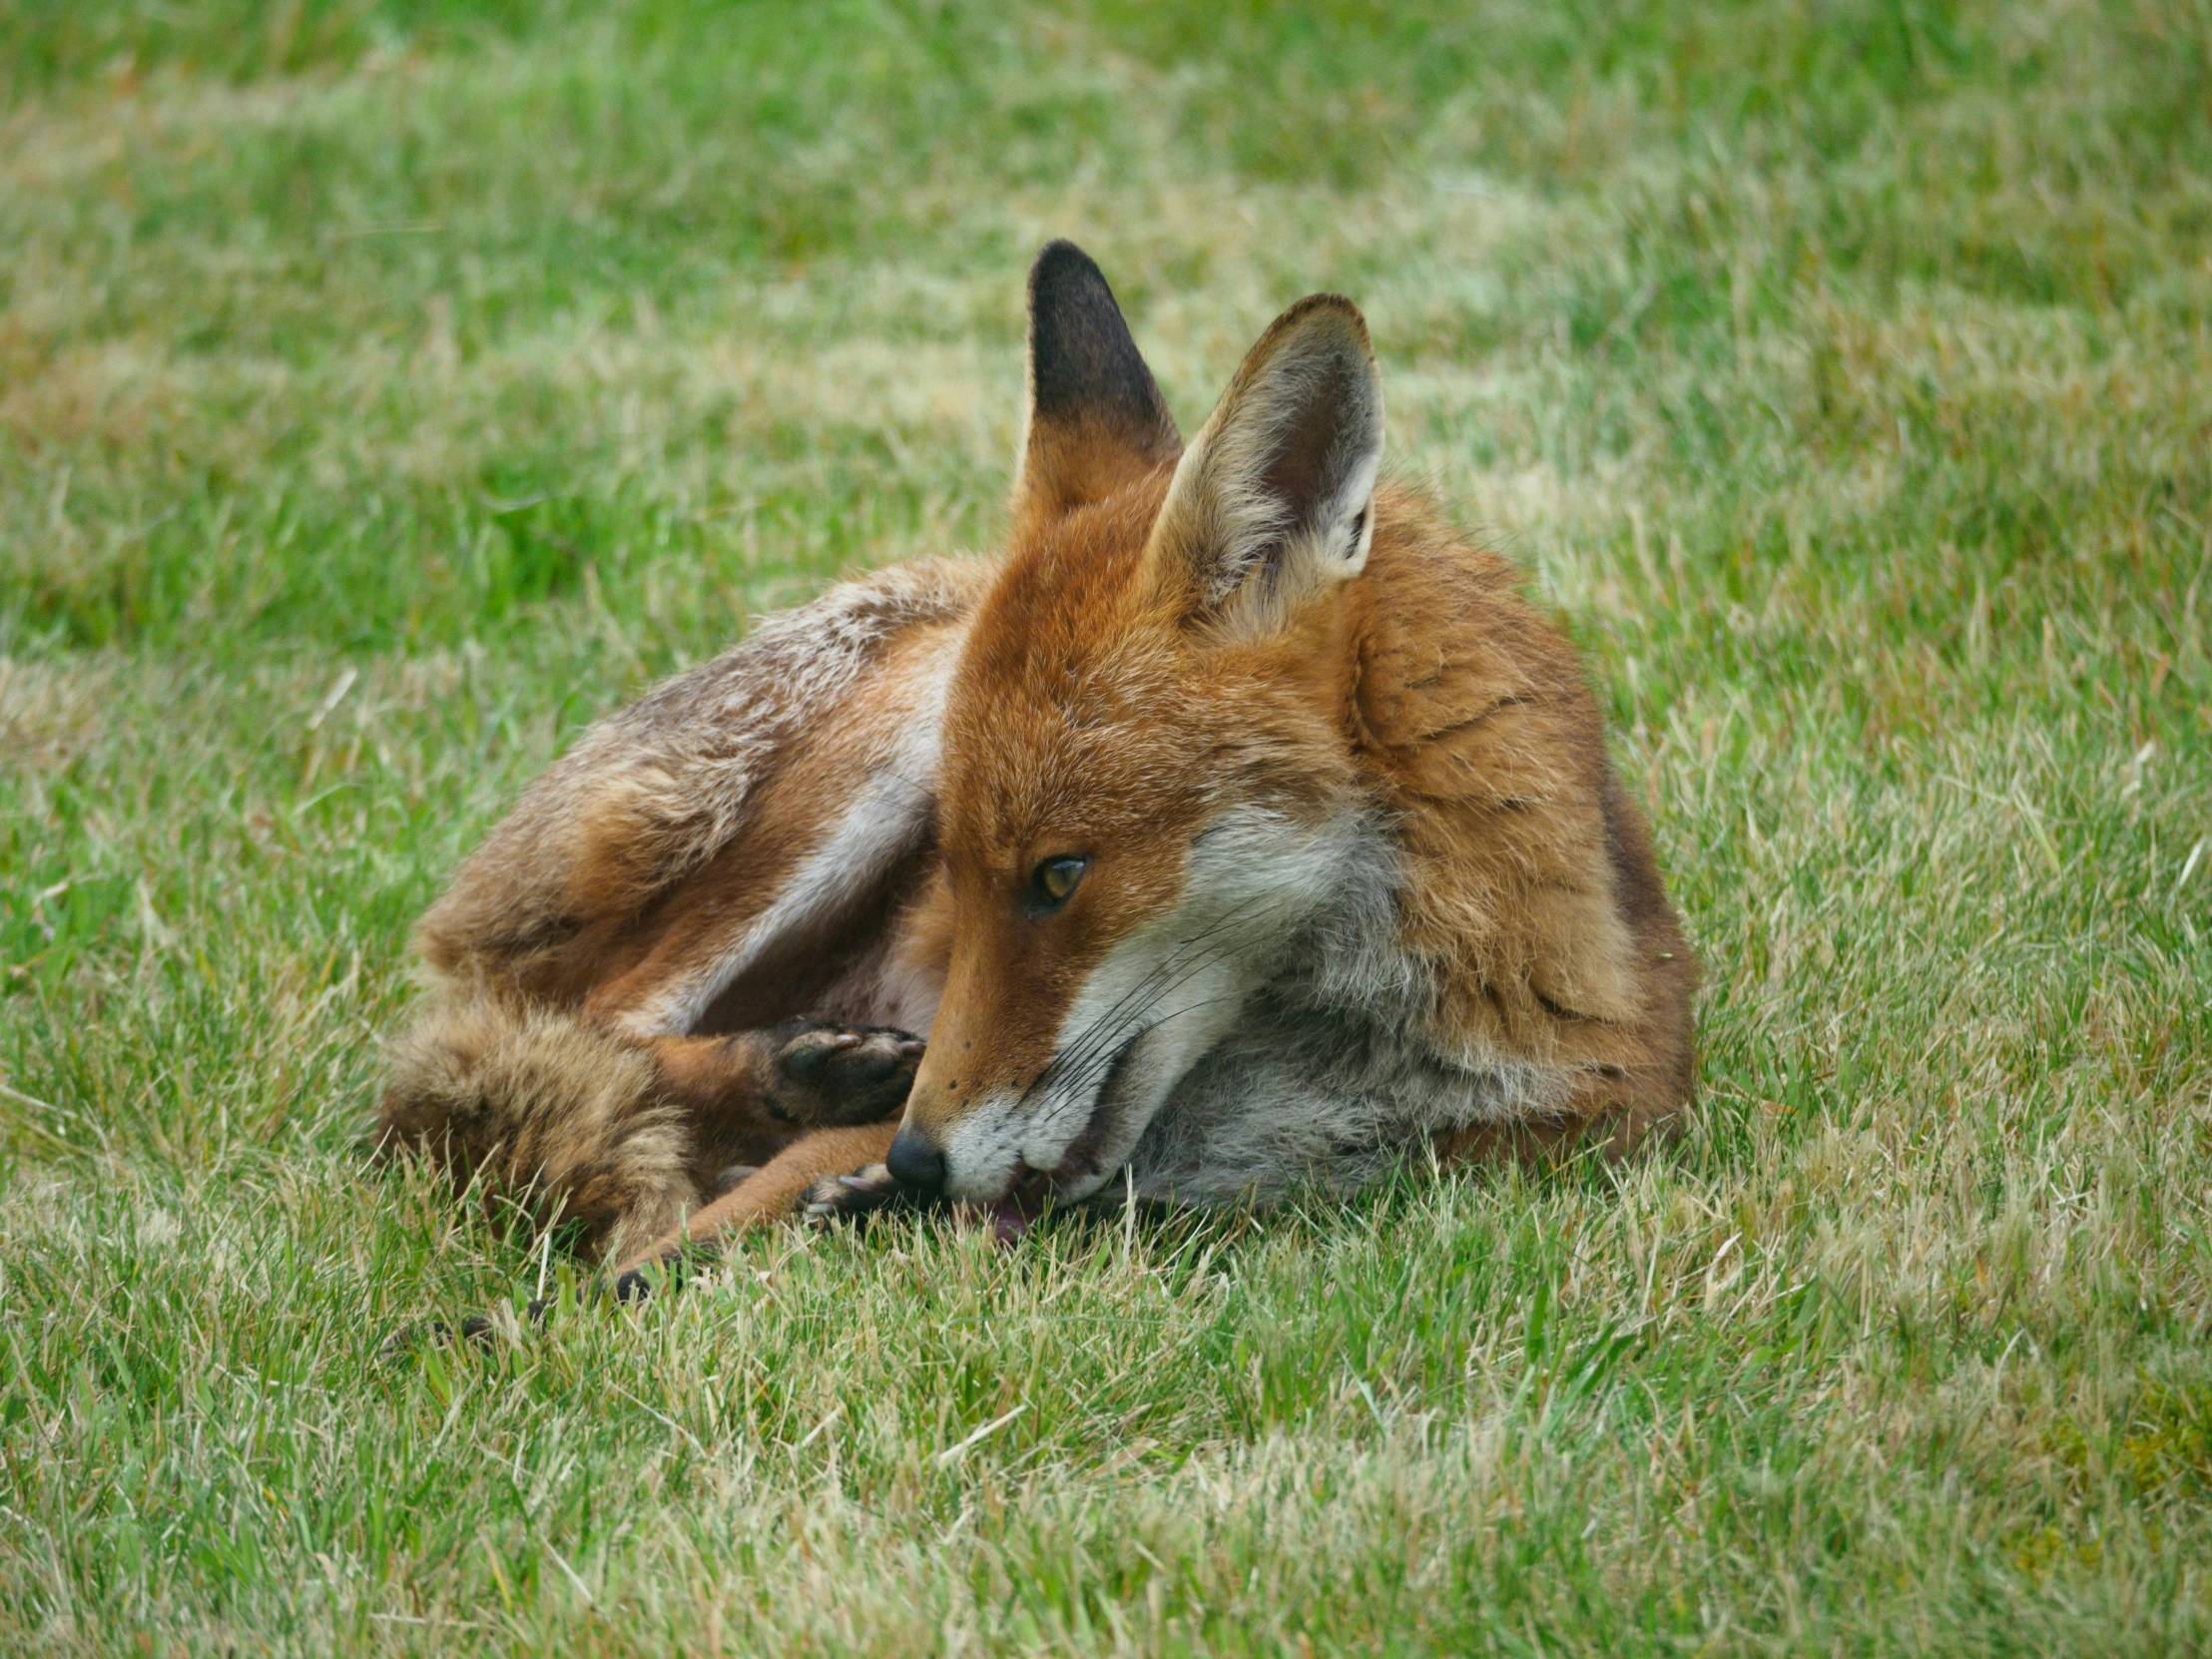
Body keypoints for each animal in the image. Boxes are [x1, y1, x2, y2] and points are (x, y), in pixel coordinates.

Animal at [375, 240, 1690, 1292]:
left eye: (1058, 878)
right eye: (951, 874)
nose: (917, 1157)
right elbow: (632, 1271)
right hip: (871, 753)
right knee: (567, 1024)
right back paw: (792, 1070)